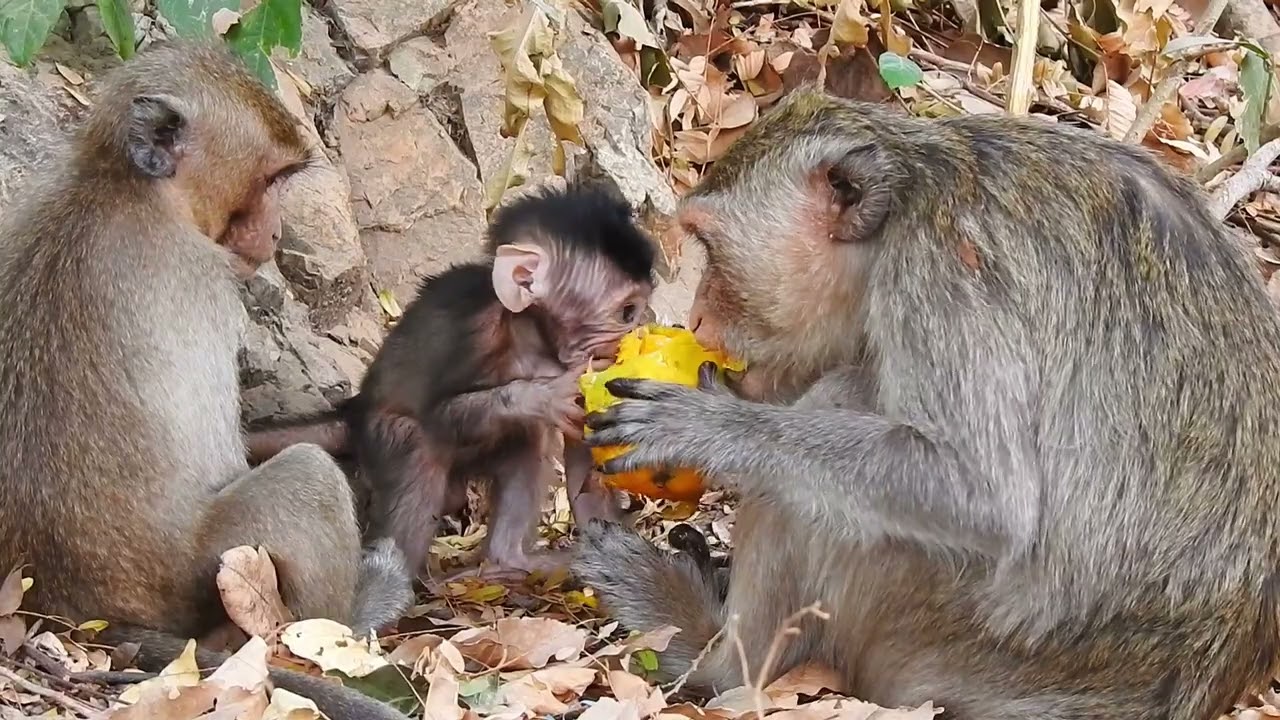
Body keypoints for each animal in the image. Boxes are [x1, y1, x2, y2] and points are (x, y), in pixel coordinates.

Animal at [0, 42, 415, 720]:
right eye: (271, 181)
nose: (276, 232)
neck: (117, 187)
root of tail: (74, 609)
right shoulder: (208, 286)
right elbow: (222, 456)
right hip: (197, 573)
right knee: (306, 481)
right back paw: (352, 615)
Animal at [246, 183, 657, 581]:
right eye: (627, 311)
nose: (639, 331)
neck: (530, 337)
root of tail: (354, 410)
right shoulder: (471, 334)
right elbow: (439, 416)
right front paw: (543, 395)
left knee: (526, 439)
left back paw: (508, 560)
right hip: (380, 434)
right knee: (418, 445)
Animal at [570, 87, 1280, 720]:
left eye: (710, 248)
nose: (695, 317)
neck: (914, 187)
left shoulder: (941, 275)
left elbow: (984, 494)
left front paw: (709, 426)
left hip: (943, 634)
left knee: (834, 437)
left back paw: (712, 653)